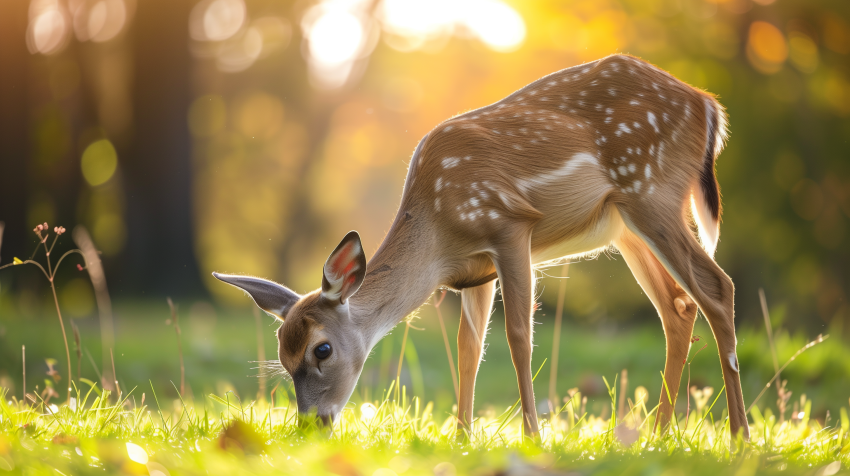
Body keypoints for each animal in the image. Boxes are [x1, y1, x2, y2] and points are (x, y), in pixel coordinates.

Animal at [213, 53, 749, 441]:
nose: (313, 424)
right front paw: (462, 438)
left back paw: (740, 436)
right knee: (678, 307)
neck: (439, 232)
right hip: (626, 226)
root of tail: (709, 106)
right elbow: (469, 347)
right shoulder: (474, 271)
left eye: (321, 349)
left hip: (650, 189)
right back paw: (658, 434)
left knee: (717, 288)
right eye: (282, 357)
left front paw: (532, 438)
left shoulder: (507, 226)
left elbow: (517, 336)